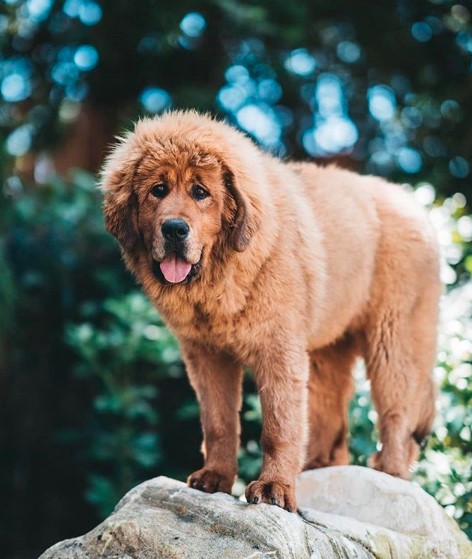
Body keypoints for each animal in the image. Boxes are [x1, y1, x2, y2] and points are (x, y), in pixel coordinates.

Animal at [100, 109, 442, 512]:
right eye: (158, 190)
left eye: (200, 193)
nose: (174, 230)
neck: (220, 281)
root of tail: (413, 204)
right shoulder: (207, 356)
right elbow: (218, 422)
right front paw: (215, 478)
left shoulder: (278, 349)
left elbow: (279, 425)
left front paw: (275, 488)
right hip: (329, 346)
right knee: (333, 415)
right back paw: (318, 466)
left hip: (394, 337)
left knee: (397, 409)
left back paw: (389, 470)